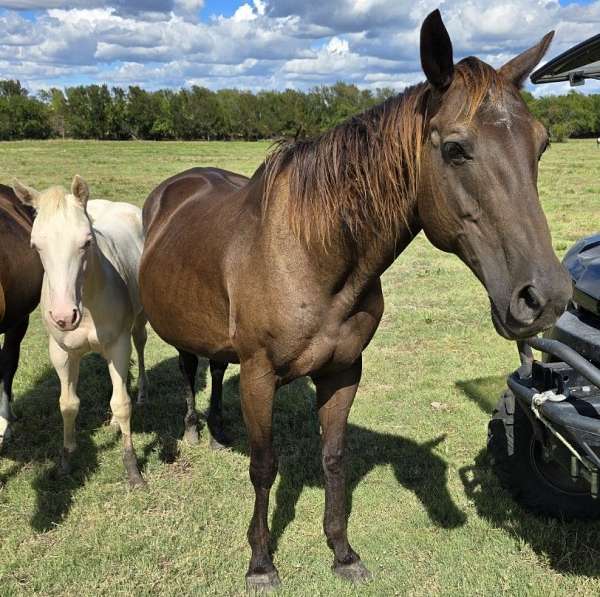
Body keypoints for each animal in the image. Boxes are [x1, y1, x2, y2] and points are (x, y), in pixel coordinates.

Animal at [14, 175, 148, 486]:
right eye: (35, 245)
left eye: (87, 242)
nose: (65, 317)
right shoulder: (61, 352)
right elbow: (68, 404)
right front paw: (66, 460)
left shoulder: (118, 344)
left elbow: (122, 403)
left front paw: (133, 469)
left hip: (138, 322)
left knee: (140, 344)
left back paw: (142, 393)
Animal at [139, 10, 572, 592]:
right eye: (455, 148)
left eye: (541, 144)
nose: (544, 297)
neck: (310, 255)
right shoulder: (259, 374)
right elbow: (264, 465)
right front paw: (261, 562)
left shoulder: (343, 371)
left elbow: (334, 458)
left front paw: (342, 553)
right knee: (190, 368)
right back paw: (193, 428)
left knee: (212, 367)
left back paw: (218, 428)